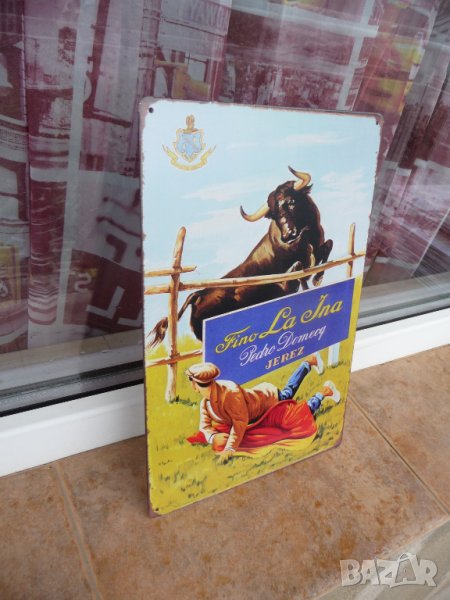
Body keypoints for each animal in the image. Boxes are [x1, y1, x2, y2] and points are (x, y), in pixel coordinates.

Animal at [147, 167, 333, 348]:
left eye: (292, 202)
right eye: (273, 214)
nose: (288, 236)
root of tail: (198, 294)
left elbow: (328, 245)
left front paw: (318, 278)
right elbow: (301, 268)